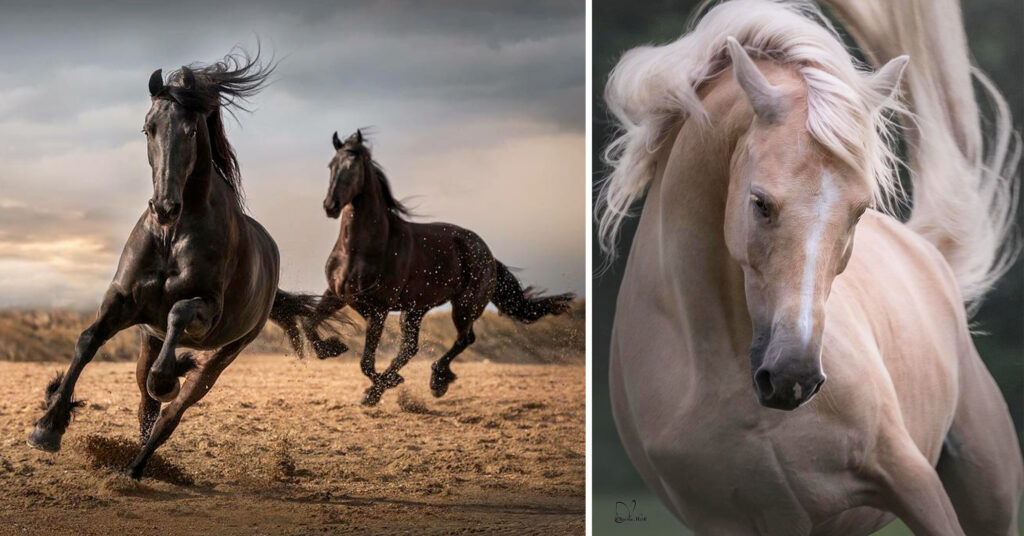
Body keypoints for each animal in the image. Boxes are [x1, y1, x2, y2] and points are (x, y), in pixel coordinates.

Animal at [27, 49, 344, 479]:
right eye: (148, 129)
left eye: (191, 131)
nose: (164, 207)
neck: (172, 236)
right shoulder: (123, 301)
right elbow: (87, 341)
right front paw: (48, 426)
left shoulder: (206, 311)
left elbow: (177, 317)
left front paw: (169, 377)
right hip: (149, 341)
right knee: (146, 408)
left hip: (226, 353)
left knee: (171, 411)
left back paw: (139, 464)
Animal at [300, 129, 575, 407]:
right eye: (331, 166)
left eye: (353, 168)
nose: (331, 206)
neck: (360, 249)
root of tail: (486, 252)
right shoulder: (336, 295)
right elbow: (310, 324)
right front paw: (334, 349)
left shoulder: (378, 309)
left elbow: (366, 362)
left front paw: (379, 387)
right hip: (415, 309)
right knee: (411, 347)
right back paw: (394, 383)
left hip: (463, 306)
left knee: (464, 339)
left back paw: (435, 381)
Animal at [597, 0, 1021, 534]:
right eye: (760, 202)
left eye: (859, 210)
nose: (792, 375)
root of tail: (927, 251)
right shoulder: (723, 521)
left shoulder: (911, 479)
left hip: (988, 493)